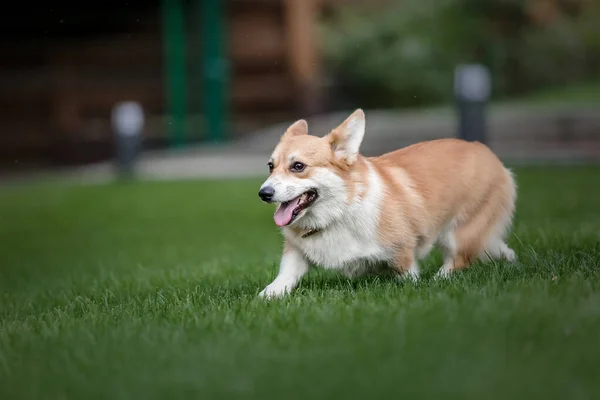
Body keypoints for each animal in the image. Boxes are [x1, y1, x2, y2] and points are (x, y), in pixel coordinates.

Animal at [258, 108, 516, 296]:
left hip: (460, 233)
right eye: (271, 166)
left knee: (458, 260)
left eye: (298, 166)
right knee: (495, 247)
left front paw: (416, 287)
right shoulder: (296, 251)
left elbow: (409, 276)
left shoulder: (402, 252)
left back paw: (440, 279)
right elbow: (286, 274)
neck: (337, 213)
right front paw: (269, 295)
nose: (264, 193)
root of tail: (484, 150)